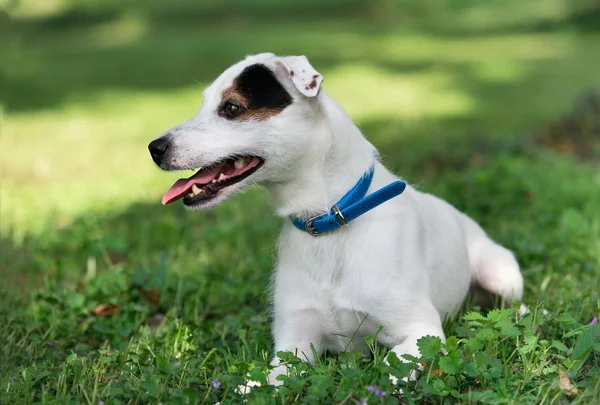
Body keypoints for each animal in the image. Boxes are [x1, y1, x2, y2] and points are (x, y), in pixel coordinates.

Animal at [150, 52, 524, 388]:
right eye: (203, 104)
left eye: (231, 108)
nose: (155, 148)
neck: (329, 222)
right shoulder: (294, 344)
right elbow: (259, 383)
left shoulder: (421, 330)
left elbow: (391, 367)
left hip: (500, 273)